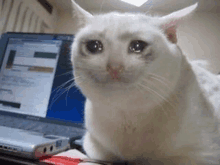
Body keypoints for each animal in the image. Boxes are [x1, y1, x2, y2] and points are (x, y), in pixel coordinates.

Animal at [70, 0, 220, 164]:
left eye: (138, 46)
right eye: (93, 46)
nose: (114, 67)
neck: (128, 117)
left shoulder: (202, 155)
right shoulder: (93, 146)